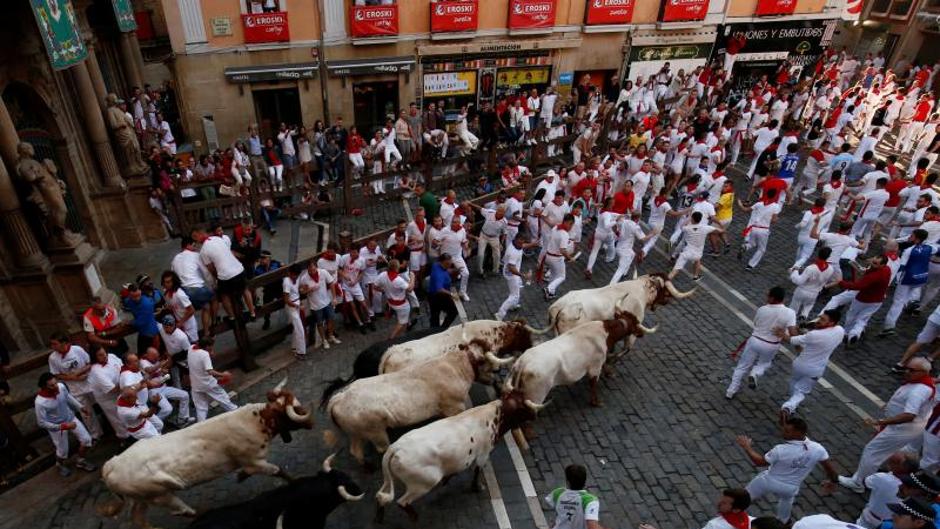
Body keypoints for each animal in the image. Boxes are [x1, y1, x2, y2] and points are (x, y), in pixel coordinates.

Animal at [100, 382, 312, 524]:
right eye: (295, 408)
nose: (311, 422)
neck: (255, 421)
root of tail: (112, 464)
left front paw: (241, 476)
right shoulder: (254, 461)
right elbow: (278, 470)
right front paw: (297, 482)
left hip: (143, 498)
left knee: (138, 517)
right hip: (160, 494)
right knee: (184, 511)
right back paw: (204, 512)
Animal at [324, 348, 516, 464]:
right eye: (494, 369)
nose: (498, 384)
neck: (457, 367)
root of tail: (340, 397)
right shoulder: (453, 407)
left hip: (356, 433)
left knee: (355, 451)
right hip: (375, 431)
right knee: (380, 447)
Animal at [506, 314, 648, 408]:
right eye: (636, 322)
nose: (642, 332)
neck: (606, 333)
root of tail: (523, 362)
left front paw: (609, 372)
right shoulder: (595, 366)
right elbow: (593, 384)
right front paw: (596, 402)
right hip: (535, 394)